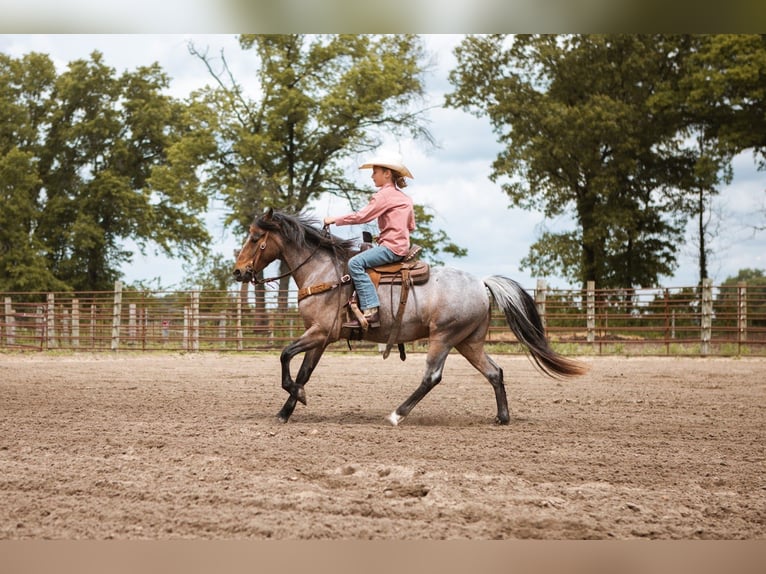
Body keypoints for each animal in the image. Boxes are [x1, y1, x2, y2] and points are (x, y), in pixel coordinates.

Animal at [233, 208, 587, 425]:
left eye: (254, 237)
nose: (238, 272)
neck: (324, 272)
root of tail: (481, 282)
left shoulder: (321, 332)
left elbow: (284, 356)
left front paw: (296, 397)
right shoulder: (319, 338)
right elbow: (303, 372)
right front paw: (287, 409)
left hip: (443, 337)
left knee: (432, 377)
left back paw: (397, 414)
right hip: (469, 342)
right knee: (495, 372)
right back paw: (501, 418)